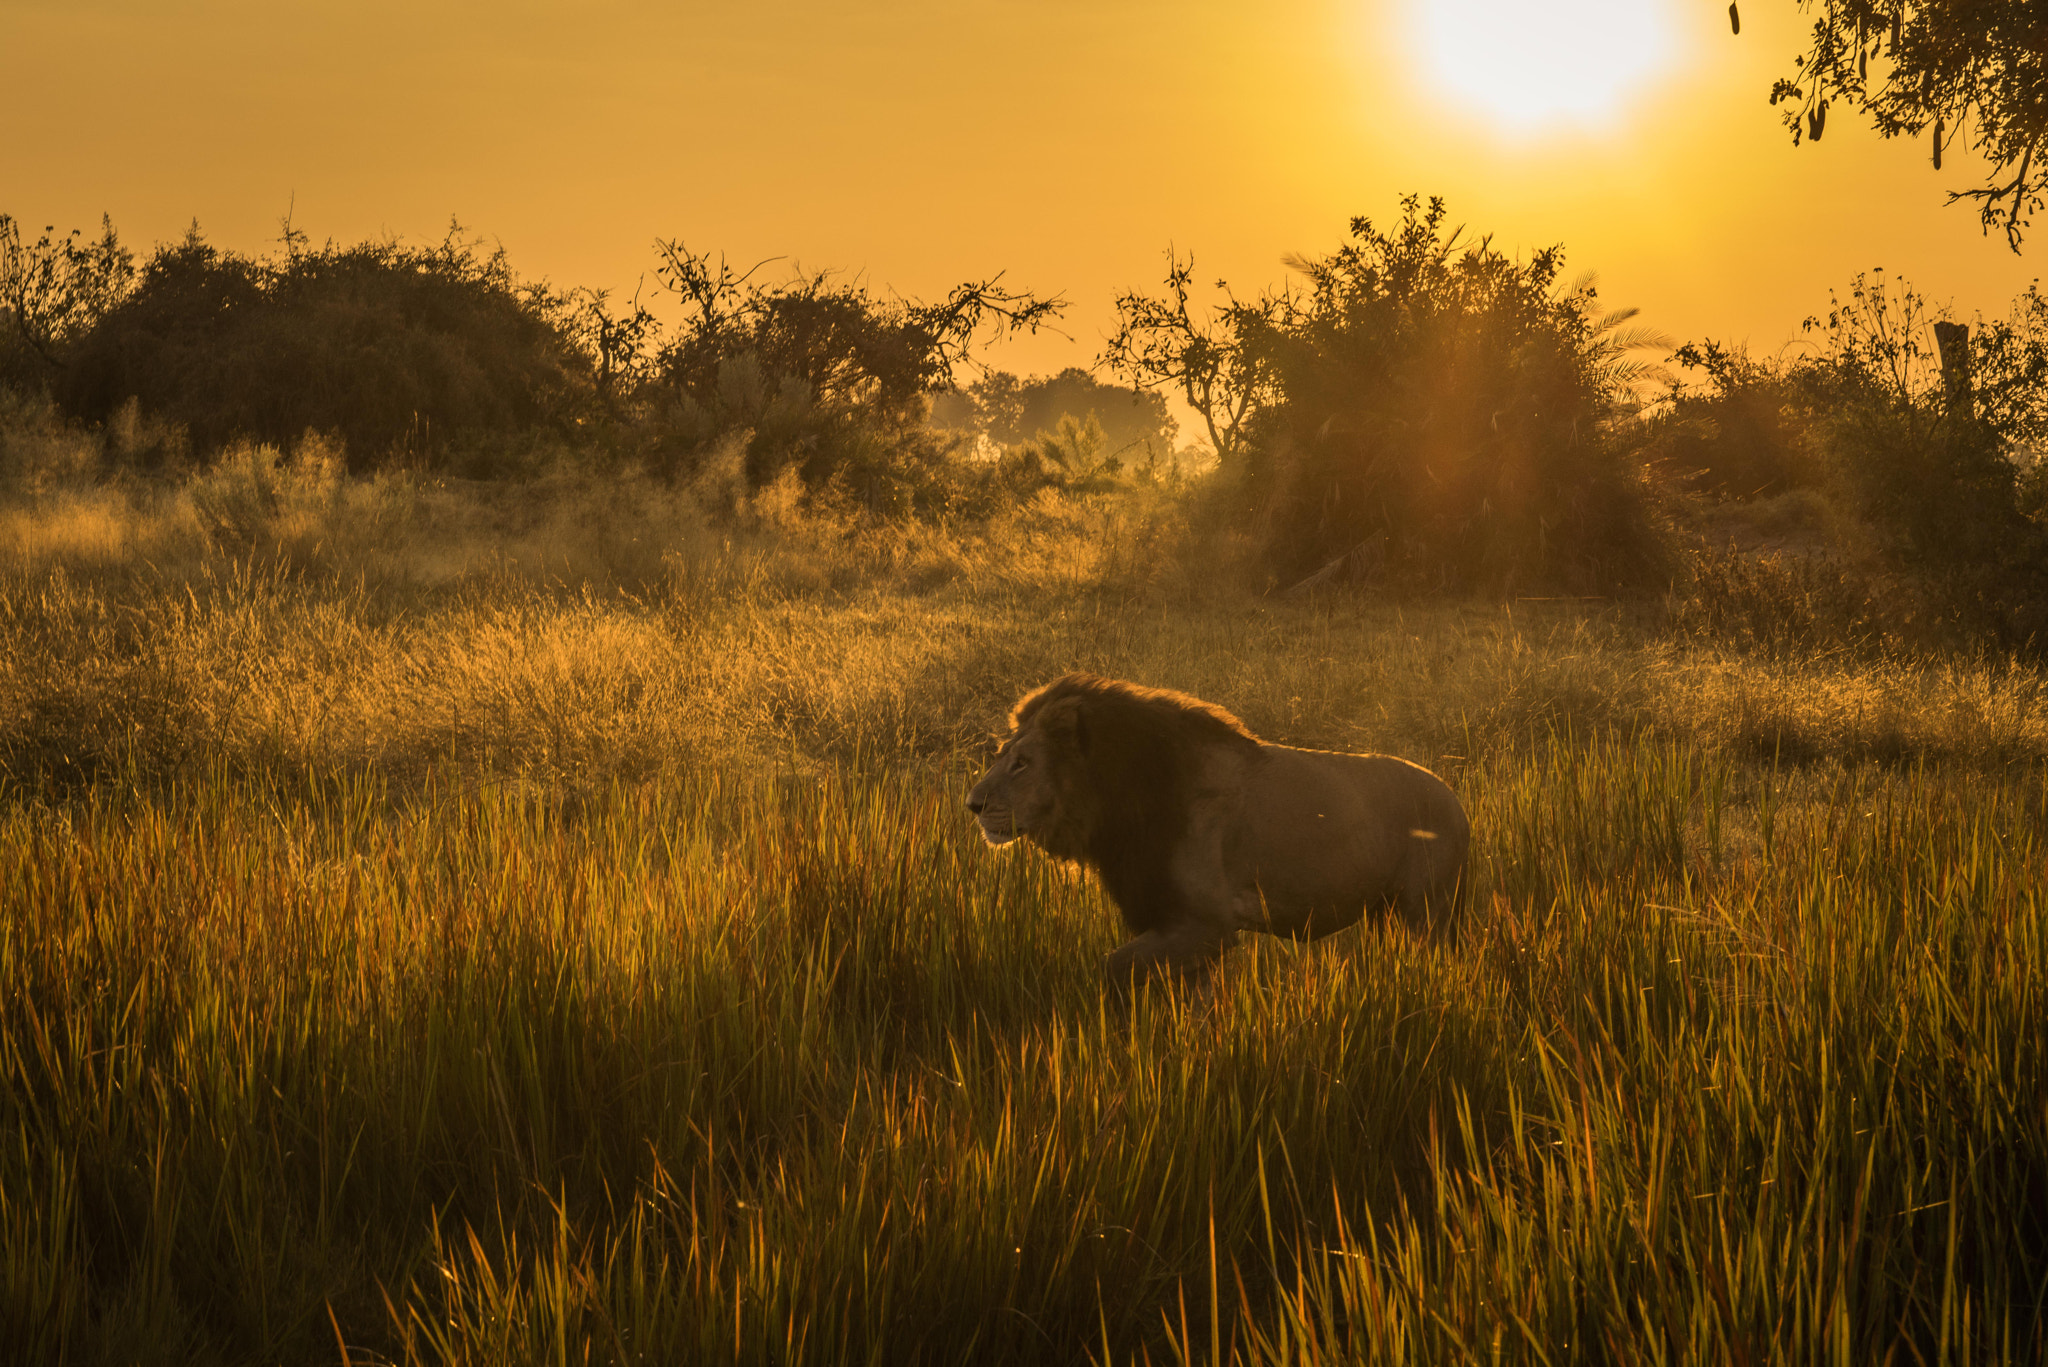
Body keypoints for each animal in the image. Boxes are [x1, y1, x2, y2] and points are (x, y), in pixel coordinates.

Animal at [962, 672, 1466, 983]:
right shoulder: (1185, 931)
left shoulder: (1209, 926)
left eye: (1022, 763)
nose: (972, 805)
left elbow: (1112, 968)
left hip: (1424, 914)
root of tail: (1456, 802)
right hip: (1388, 916)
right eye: (1002, 754)